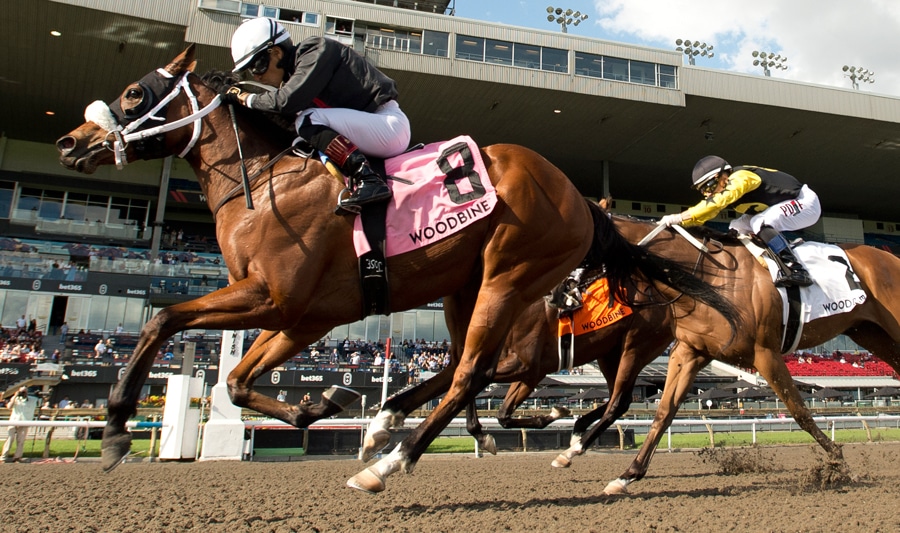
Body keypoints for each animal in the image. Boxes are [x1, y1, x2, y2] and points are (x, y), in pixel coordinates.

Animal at [56, 45, 739, 486]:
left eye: (134, 94)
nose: (69, 144)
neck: (267, 184)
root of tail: (578, 196)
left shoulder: (271, 296)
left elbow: (162, 319)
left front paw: (115, 426)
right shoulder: (303, 316)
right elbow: (238, 381)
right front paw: (320, 404)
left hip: (512, 275)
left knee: (474, 374)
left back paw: (393, 461)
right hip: (467, 286)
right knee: (466, 366)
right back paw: (386, 423)